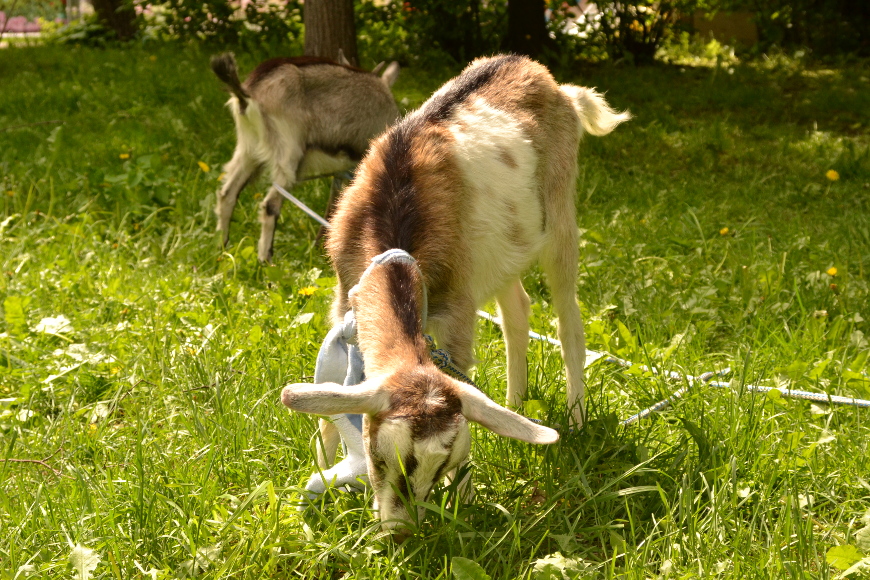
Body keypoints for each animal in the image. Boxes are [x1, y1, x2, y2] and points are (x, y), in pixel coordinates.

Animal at [211, 52, 402, 260]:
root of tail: (247, 93)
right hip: (288, 153)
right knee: (270, 205)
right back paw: (265, 259)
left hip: (248, 150)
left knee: (227, 193)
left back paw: (221, 247)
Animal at [282, 55, 632, 536]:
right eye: (377, 454)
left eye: (444, 462)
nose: (400, 530)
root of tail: (553, 84)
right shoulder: (342, 297)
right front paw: (317, 483)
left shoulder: (457, 314)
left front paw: (463, 510)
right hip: (501, 252)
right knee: (518, 310)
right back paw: (515, 403)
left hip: (561, 219)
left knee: (568, 318)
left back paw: (576, 417)